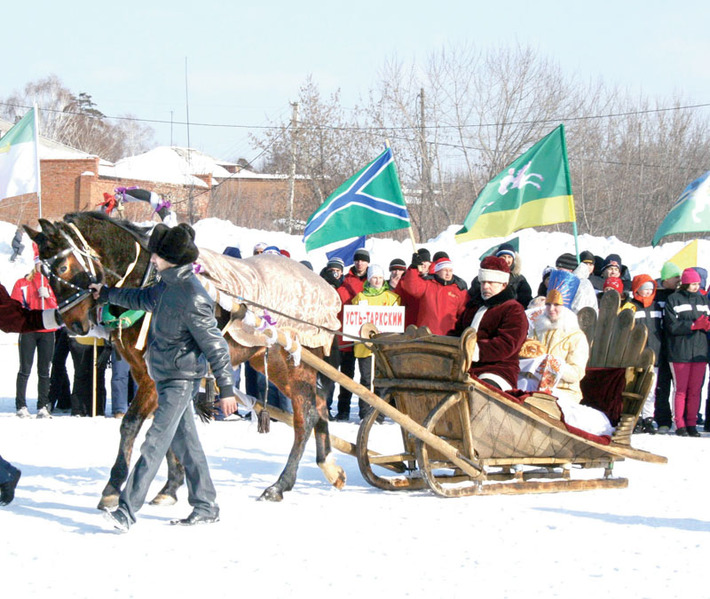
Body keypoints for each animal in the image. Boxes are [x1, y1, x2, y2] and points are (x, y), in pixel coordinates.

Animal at [26, 213, 350, 504]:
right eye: (44, 274)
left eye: (63, 266)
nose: (73, 324)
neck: (150, 281)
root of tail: (327, 290)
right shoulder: (149, 373)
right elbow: (171, 428)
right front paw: (170, 487)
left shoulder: (152, 377)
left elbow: (133, 424)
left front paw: (113, 487)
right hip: (275, 361)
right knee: (319, 403)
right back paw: (329, 465)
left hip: (296, 360)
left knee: (305, 415)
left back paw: (280, 484)